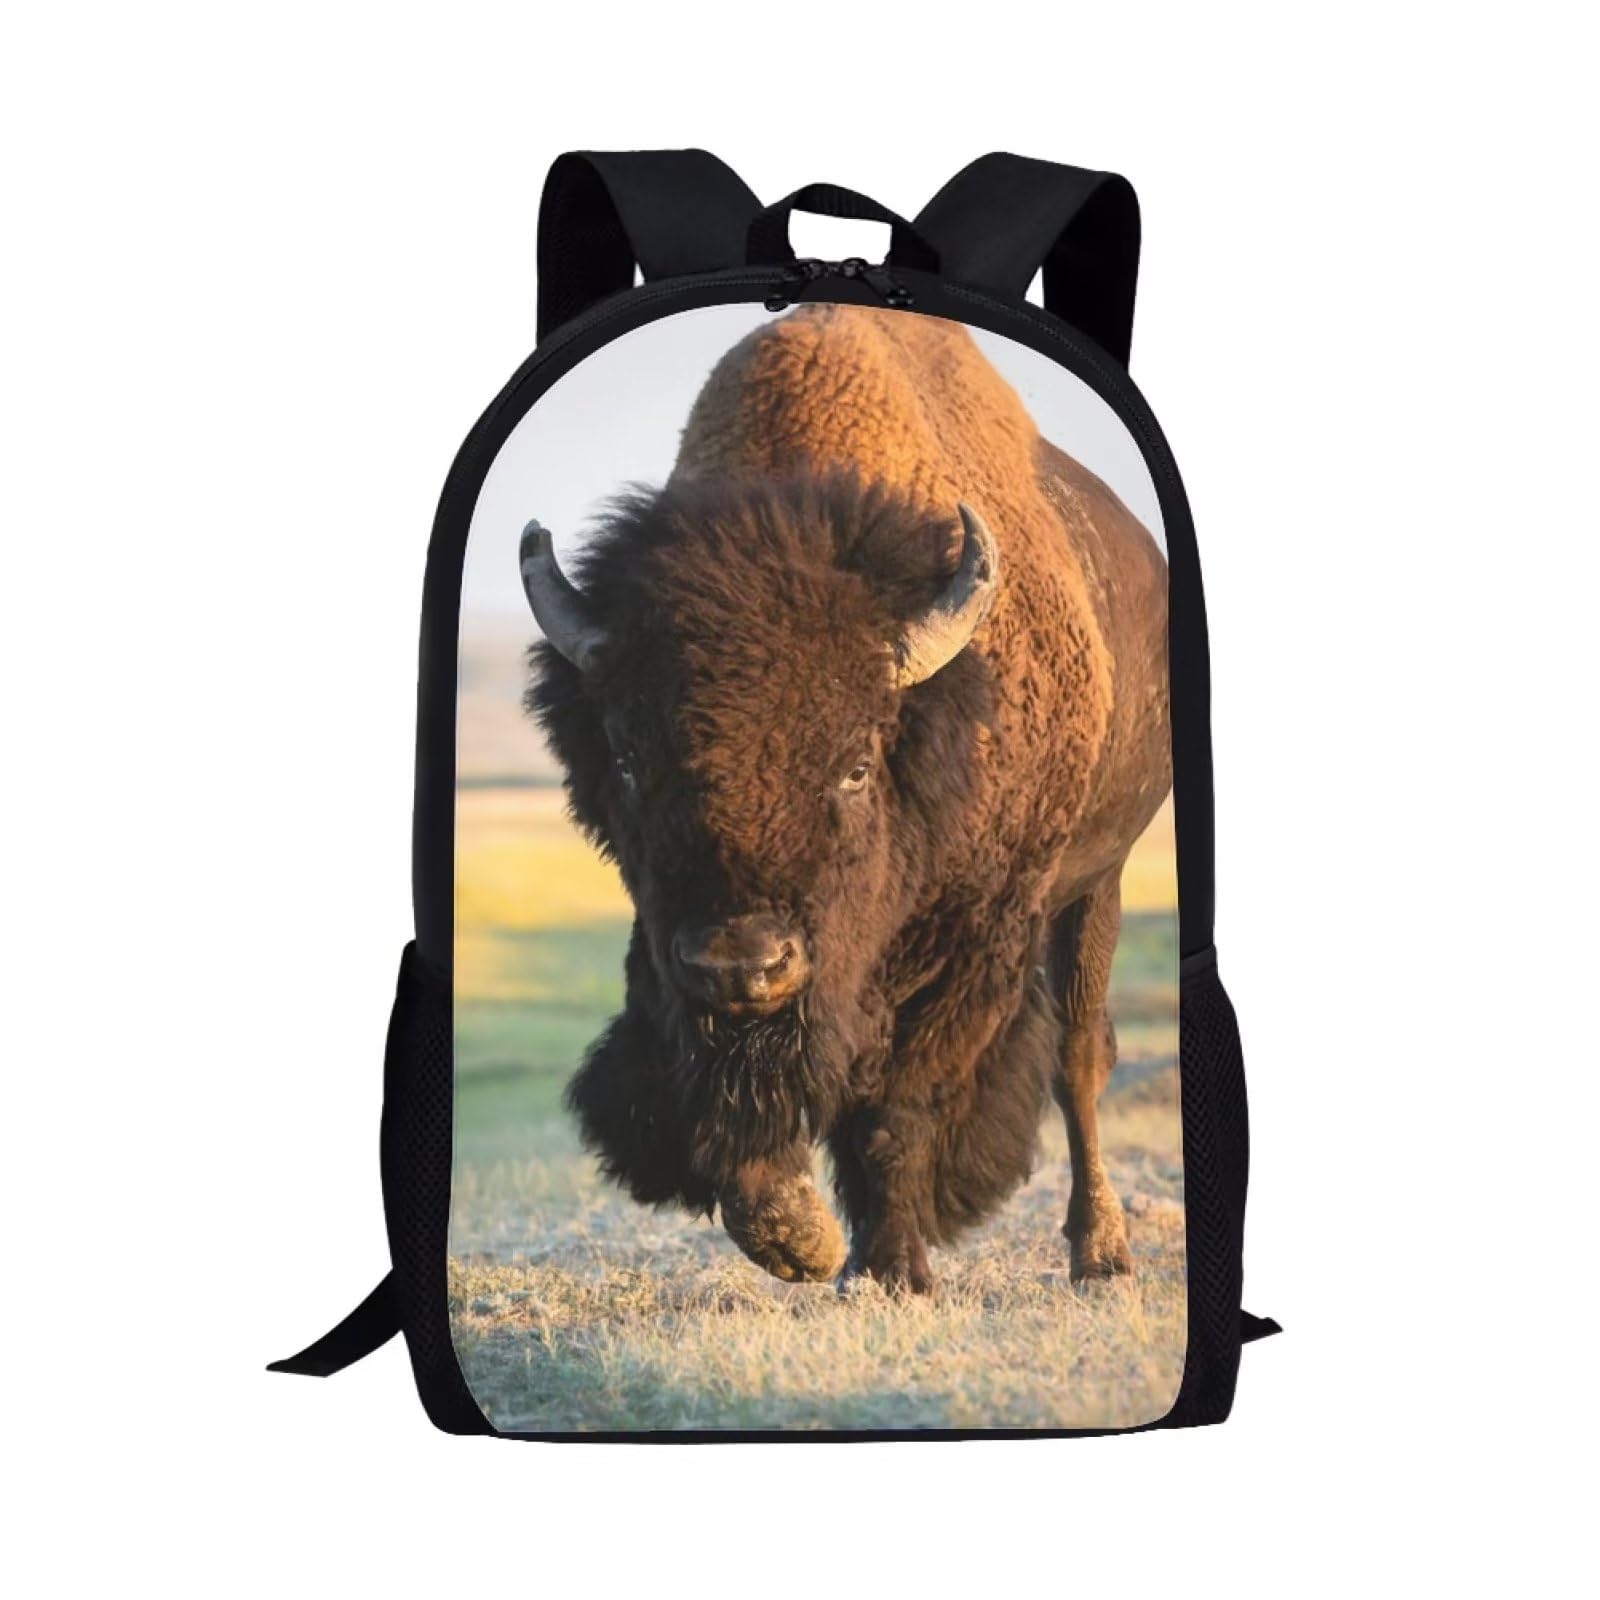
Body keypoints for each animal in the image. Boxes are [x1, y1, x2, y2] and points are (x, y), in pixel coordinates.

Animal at [521, 303, 1170, 1293]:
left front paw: (892, 1267)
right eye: (628, 761)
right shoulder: (671, 956)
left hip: (1099, 879)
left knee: (1078, 1057)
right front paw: (805, 1239)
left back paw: (1101, 1251)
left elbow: (898, 1107)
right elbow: (721, 1092)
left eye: (857, 764)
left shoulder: (977, 938)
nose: (745, 964)